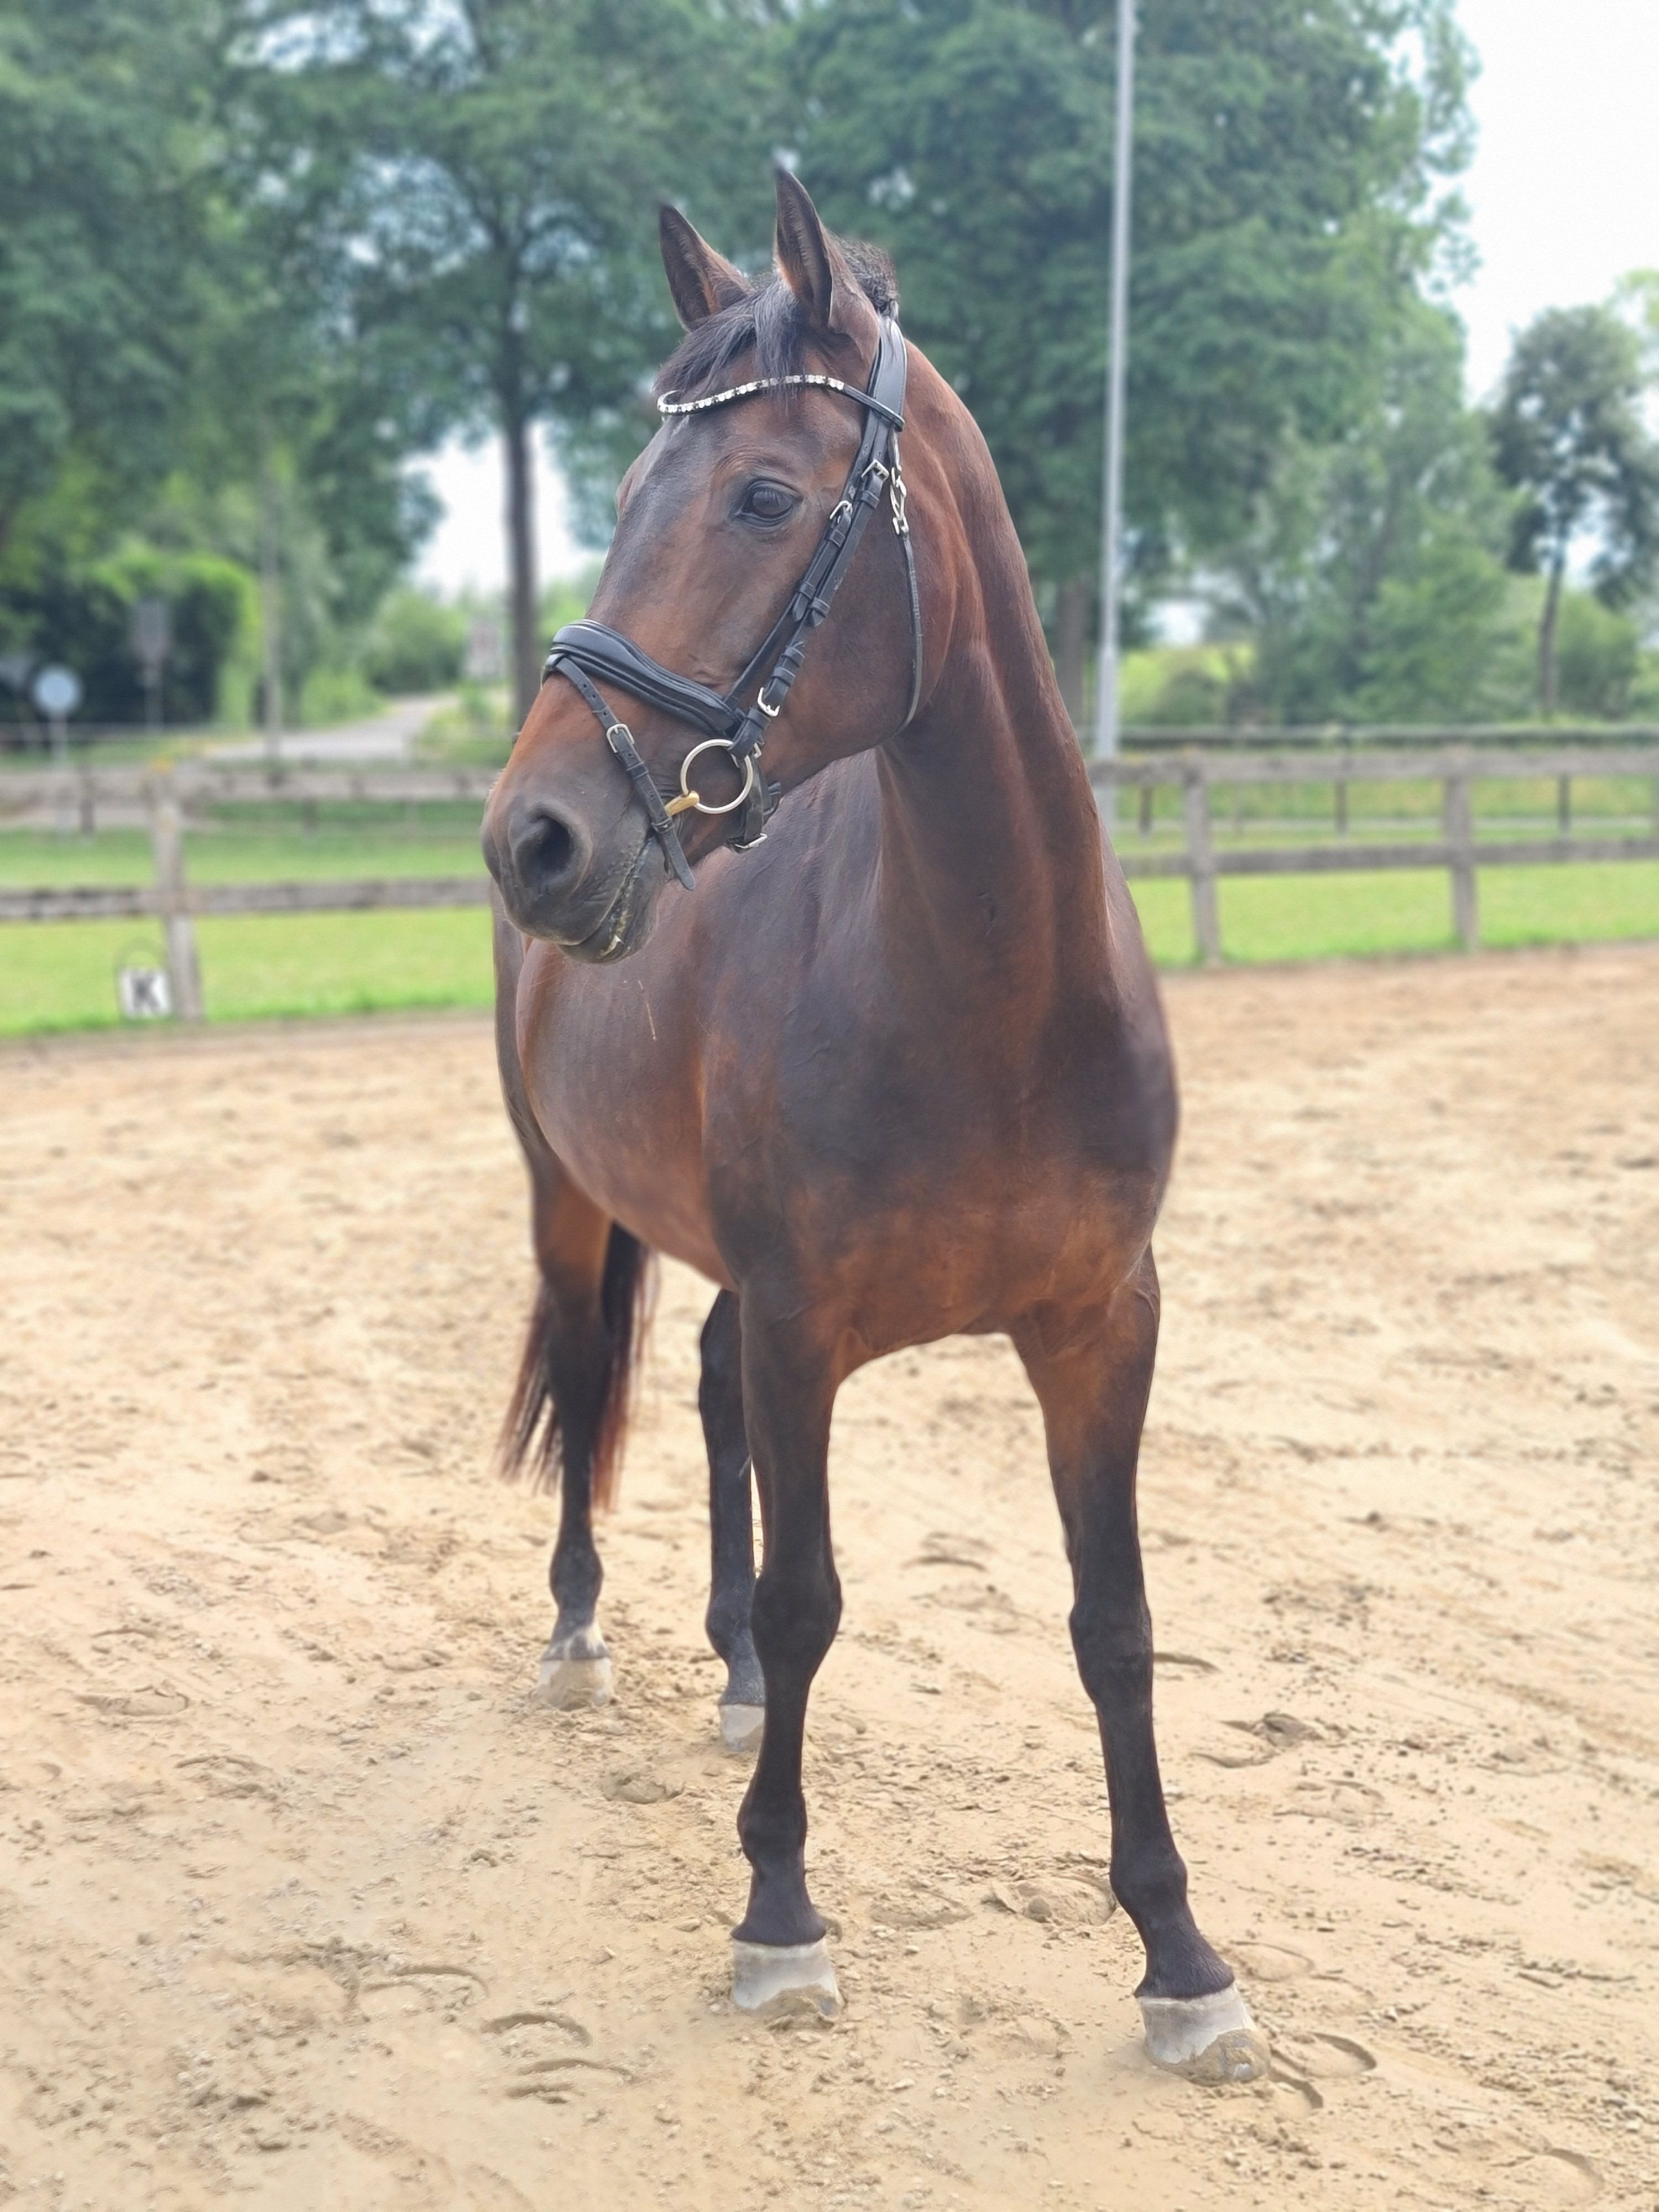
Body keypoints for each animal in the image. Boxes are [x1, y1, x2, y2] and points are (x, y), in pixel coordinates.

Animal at [480, 168, 1268, 2084]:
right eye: (624, 500)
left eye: (764, 495)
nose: (533, 836)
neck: (991, 999)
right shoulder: (803, 1325)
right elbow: (813, 1593)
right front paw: (778, 1916)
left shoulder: (1101, 1324)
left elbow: (1116, 1622)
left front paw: (1179, 1953)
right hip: (569, 1206)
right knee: (591, 1381)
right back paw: (582, 1629)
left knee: (691, 1395)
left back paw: (722, 1678)